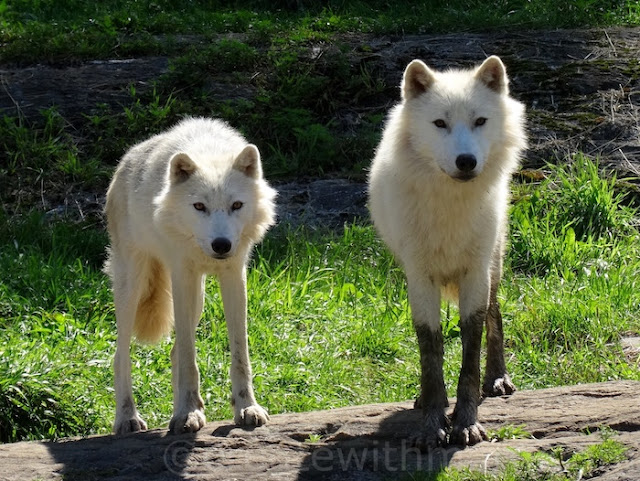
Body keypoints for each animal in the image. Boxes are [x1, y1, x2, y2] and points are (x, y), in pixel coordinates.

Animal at [104, 117, 276, 436]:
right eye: (199, 206)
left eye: (237, 205)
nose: (221, 245)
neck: (208, 151)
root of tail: (125, 161)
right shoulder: (182, 274)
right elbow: (188, 358)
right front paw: (186, 414)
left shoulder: (234, 274)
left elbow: (240, 353)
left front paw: (246, 408)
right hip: (133, 286)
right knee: (121, 356)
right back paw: (127, 418)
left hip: (198, 297)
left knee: (173, 351)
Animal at [370, 57, 524, 450]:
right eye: (440, 123)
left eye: (480, 121)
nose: (466, 161)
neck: (450, 206)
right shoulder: (420, 278)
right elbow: (431, 353)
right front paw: (432, 422)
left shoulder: (475, 274)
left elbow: (471, 350)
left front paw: (466, 423)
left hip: (494, 267)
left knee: (496, 316)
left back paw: (497, 379)